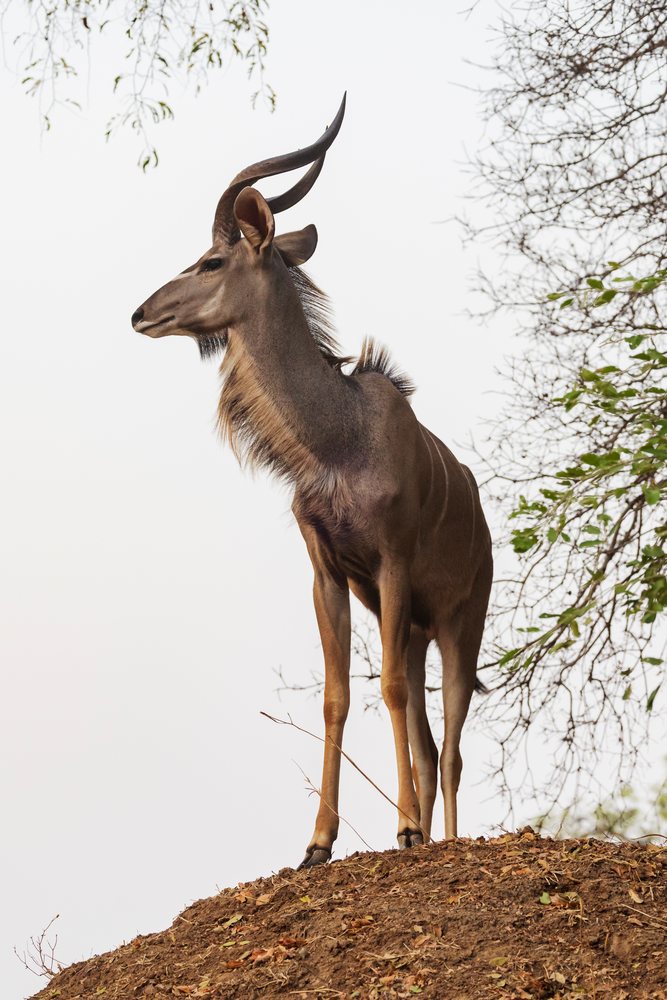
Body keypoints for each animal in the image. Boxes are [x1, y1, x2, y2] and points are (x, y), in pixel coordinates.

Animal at [131, 96, 492, 868]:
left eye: (211, 259)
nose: (141, 312)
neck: (337, 439)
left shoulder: (389, 564)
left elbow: (386, 690)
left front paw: (404, 830)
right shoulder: (328, 573)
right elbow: (336, 696)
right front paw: (317, 843)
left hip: (459, 623)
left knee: (449, 745)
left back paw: (441, 837)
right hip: (413, 626)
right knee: (426, 742)